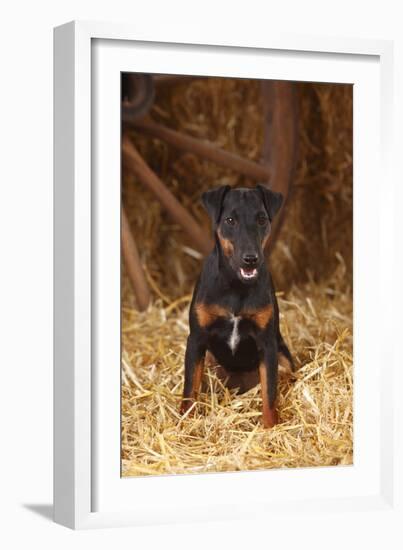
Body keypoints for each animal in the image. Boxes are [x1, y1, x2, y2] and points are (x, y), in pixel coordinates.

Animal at [181, 183, 296, 430]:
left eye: (262, 219)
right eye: (230, 220)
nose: (250, 259)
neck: (235, 284)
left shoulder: (267, 343)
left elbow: (269, 393)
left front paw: (270, 428)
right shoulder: (196, 339)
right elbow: (189, 389)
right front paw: (186, 424)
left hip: (283, 358)